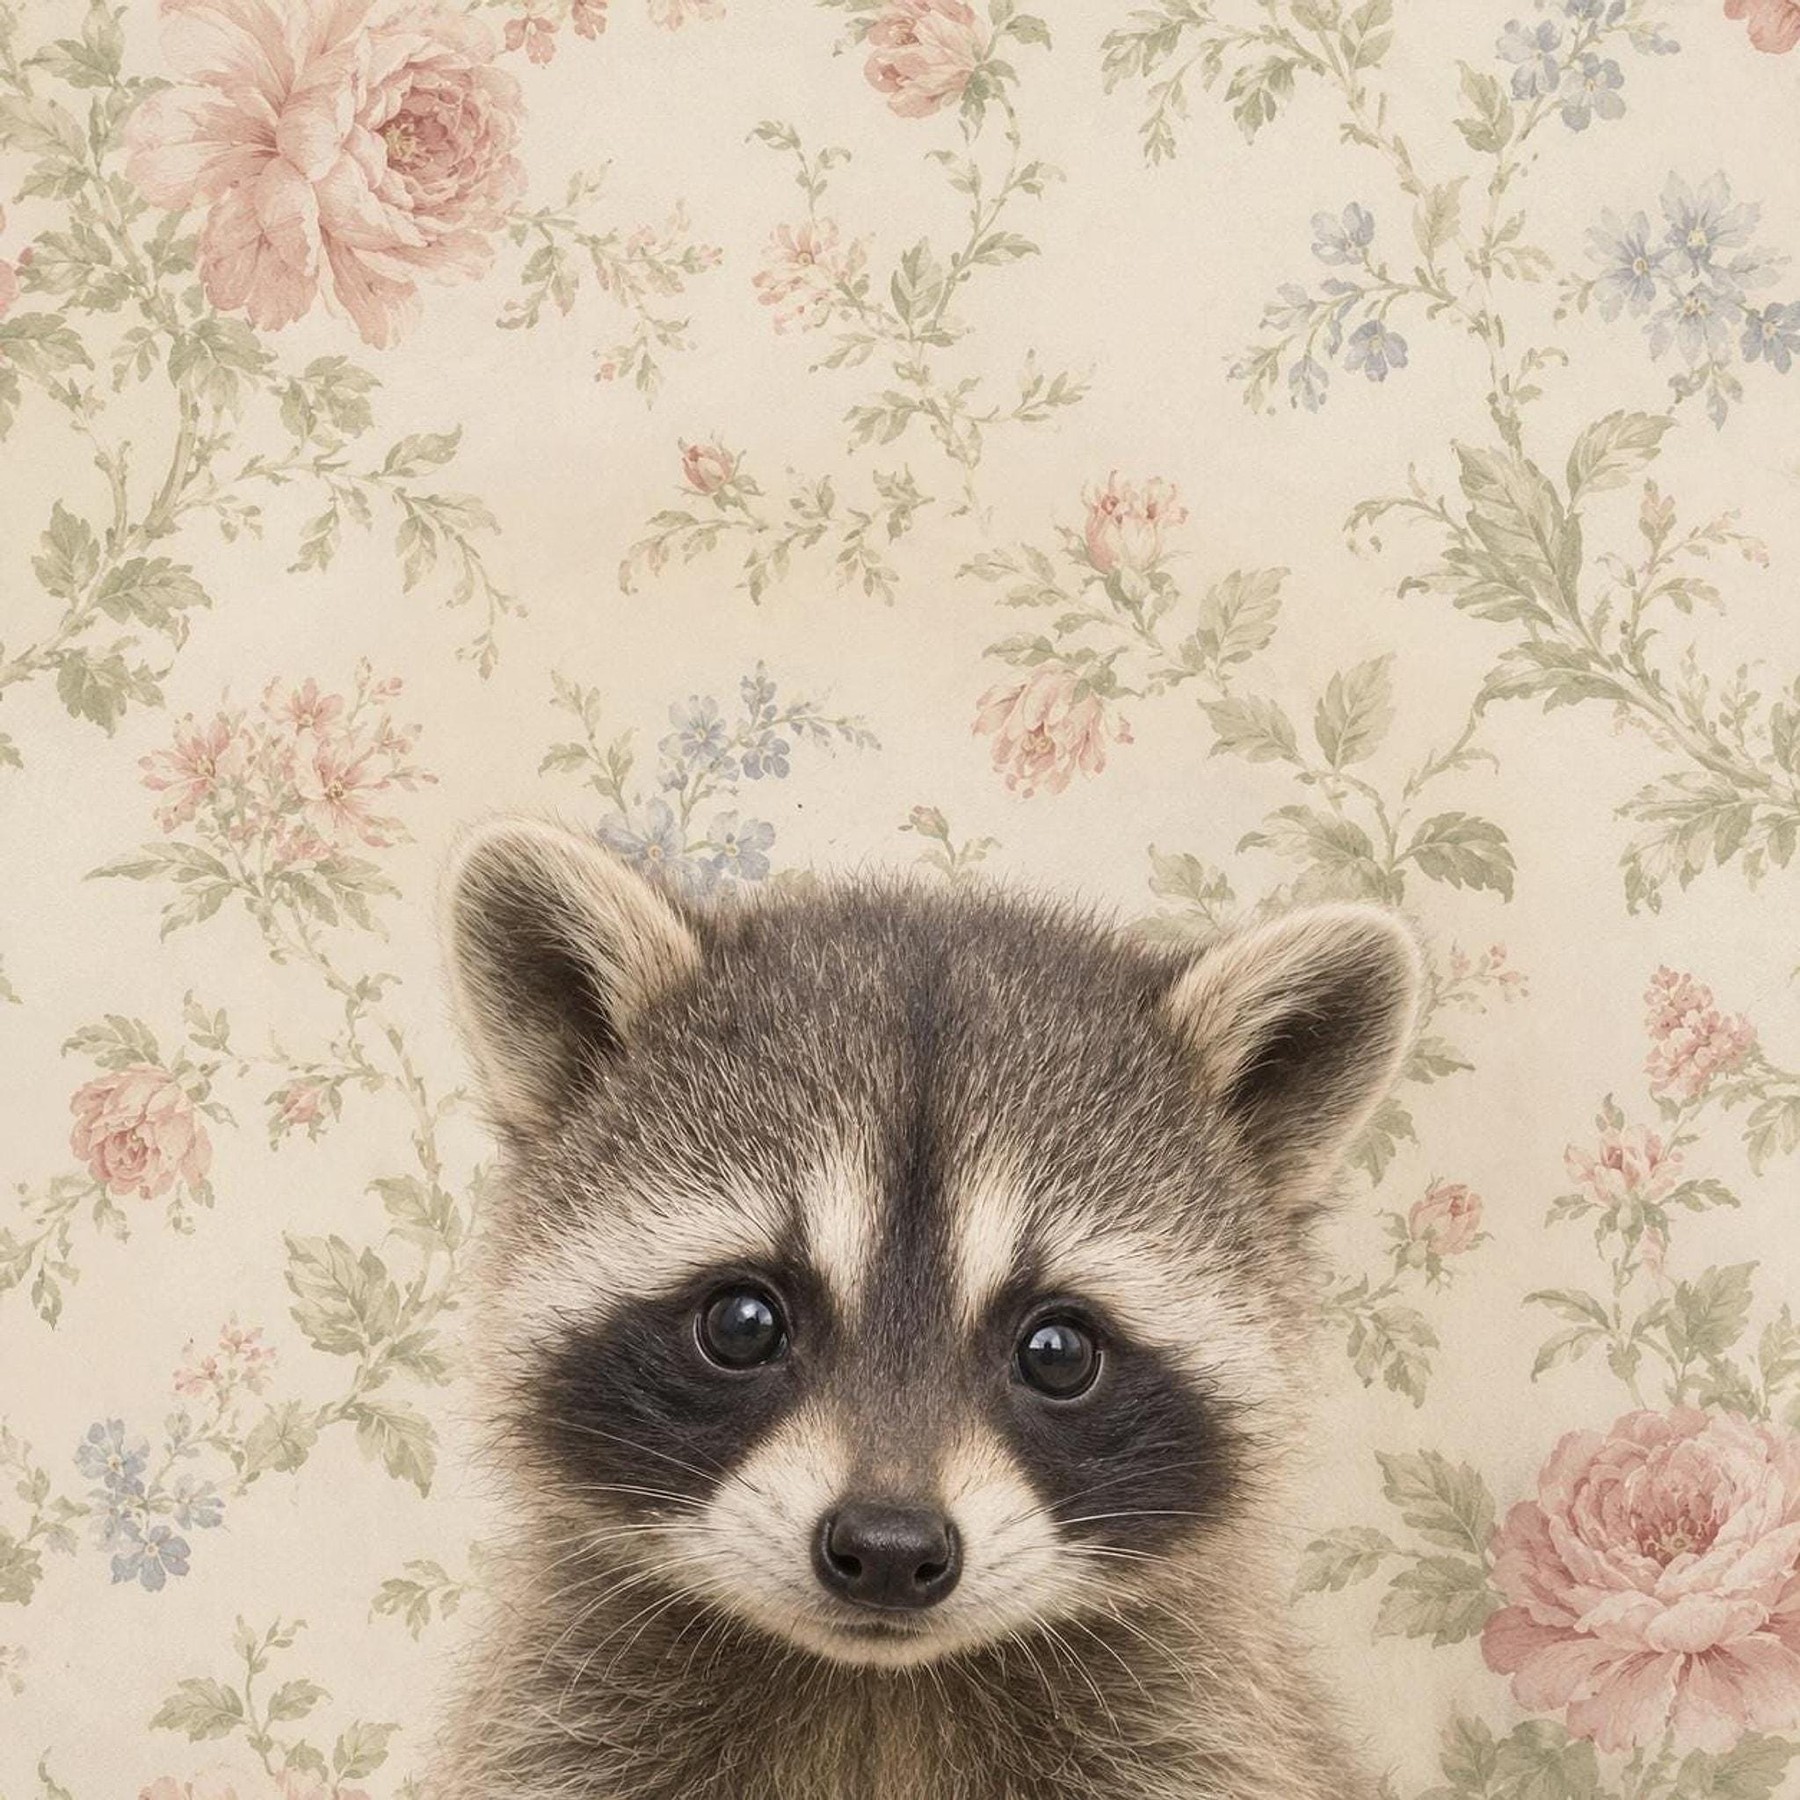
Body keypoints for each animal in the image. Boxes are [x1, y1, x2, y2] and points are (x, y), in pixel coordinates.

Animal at [431, 817, 1421, 1800]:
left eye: (1058, 1352)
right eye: (742, 1325)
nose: (889, 1549)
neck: (877, 1688)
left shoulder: (1200, 1731)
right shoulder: (561, 1720)